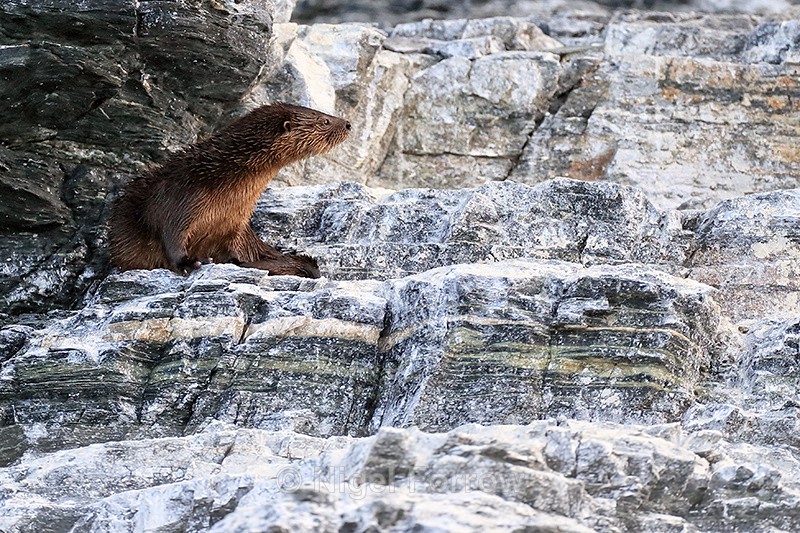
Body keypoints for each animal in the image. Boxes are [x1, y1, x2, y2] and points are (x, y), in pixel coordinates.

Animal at [109, 103, 350, 277]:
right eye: (324, 120)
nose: (347, 124)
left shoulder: (235, 225)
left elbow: (235, 250)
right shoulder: (178, 200)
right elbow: (171, 237)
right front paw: (189, 263)